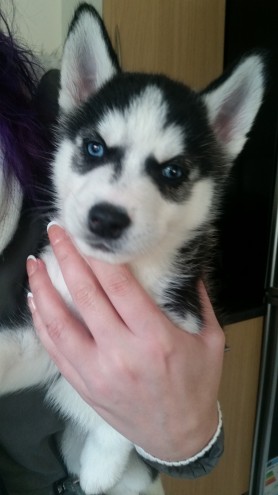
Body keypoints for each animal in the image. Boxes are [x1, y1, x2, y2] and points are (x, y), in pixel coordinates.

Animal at [0, 3, 264, 495]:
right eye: (94, 147)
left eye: (173, 172)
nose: (106, 218)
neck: (124, 274)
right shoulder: (45, 331)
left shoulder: (174, 342)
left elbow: (123, 425)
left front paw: (98, 469)